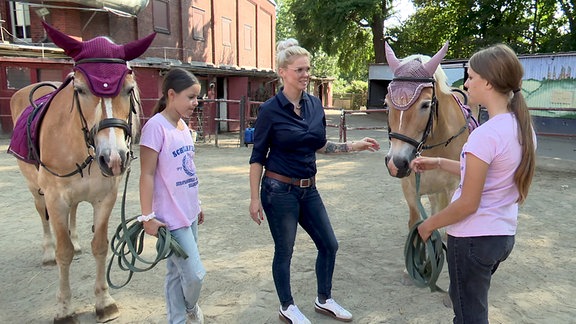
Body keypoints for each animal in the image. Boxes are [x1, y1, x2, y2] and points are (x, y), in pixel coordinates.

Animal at [7, 21, 155, 322]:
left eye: (128, 89)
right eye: (80, 89)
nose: (114, 158)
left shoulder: (105, 198)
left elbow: (100, 246)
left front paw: (104, 302)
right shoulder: (55, 198)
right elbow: (63, 253)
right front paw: (64, 308)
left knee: (74, 214)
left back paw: (76, 243)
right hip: (36, 190)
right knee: (43, 218)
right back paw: (47, 253)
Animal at [382, 41, 476, 232]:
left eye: (425, 105)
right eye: (386, 104)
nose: (396, 163)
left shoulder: (452, 189)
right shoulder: (410, 191)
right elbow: (416, 224)